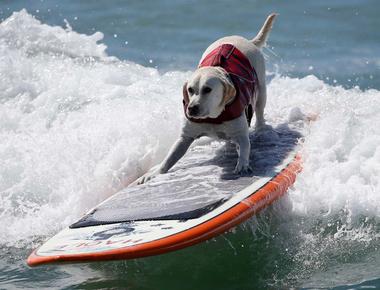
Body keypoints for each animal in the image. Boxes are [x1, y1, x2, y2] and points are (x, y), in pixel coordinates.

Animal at [135, 12, 278, 185]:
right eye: (190, 90)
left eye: (207, 90)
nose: (191, 108)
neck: (214, 117)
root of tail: (249, 41)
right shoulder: (186, 136)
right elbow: (170, 157)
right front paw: (155, 173)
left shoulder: (241, 132)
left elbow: (245, 146)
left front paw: (242, 164)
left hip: (261, 91)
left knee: (259, 110)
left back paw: (261, 128)